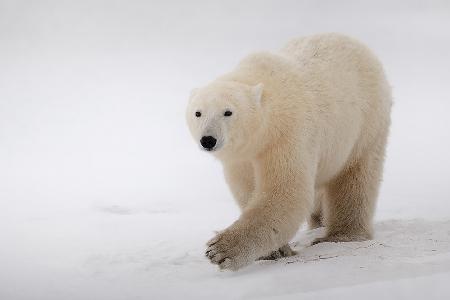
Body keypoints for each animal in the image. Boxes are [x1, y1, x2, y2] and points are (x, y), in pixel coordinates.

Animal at [186, 34, 390, 270]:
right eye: (198, 113)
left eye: (228, 112)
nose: (208, 140)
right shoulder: (240, 158)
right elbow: (248, 191)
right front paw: (274, 251)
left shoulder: (287, 135)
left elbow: (286, 192)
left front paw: (221, 249)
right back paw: (318, 221)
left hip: (366, 124)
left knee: (355, 178)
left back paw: (341, 234)